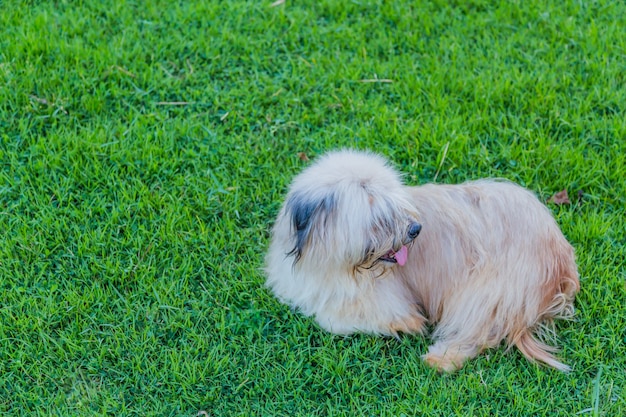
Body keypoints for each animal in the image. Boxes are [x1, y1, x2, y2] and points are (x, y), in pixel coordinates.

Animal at [264, 150, 580, 370]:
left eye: (396, 207)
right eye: (380, 218)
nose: (415, 229)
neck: (334, 264)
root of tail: (562, 260)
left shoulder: (386, 302)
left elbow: (336, 319)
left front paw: (407, 326)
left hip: (489, 291)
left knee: (480, 332)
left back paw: (442, 358)